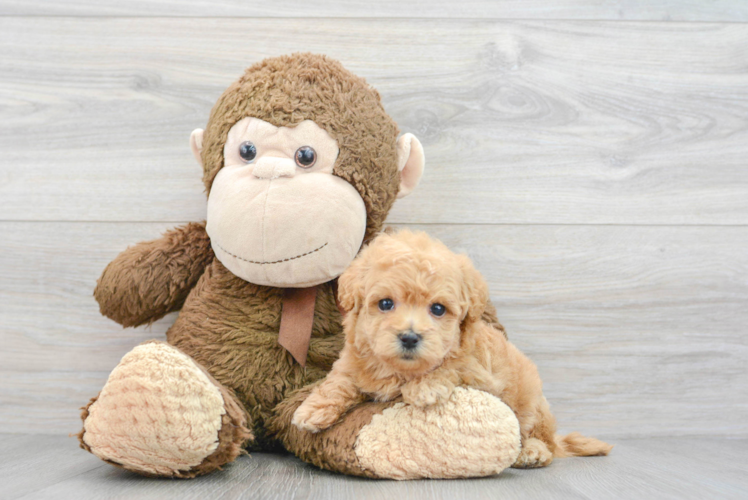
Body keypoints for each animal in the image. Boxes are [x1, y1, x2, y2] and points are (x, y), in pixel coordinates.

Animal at [290, 229, 612, 466]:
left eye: (438, 309)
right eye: (385, 304)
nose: (410, 337)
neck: (399, 370)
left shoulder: (481, 374)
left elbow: (453, 365)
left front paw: (426, 387)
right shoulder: (355, 360)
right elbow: (340, 380)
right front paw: (312, 410)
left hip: (533, 403)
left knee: (542, 439)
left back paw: (533, 452)